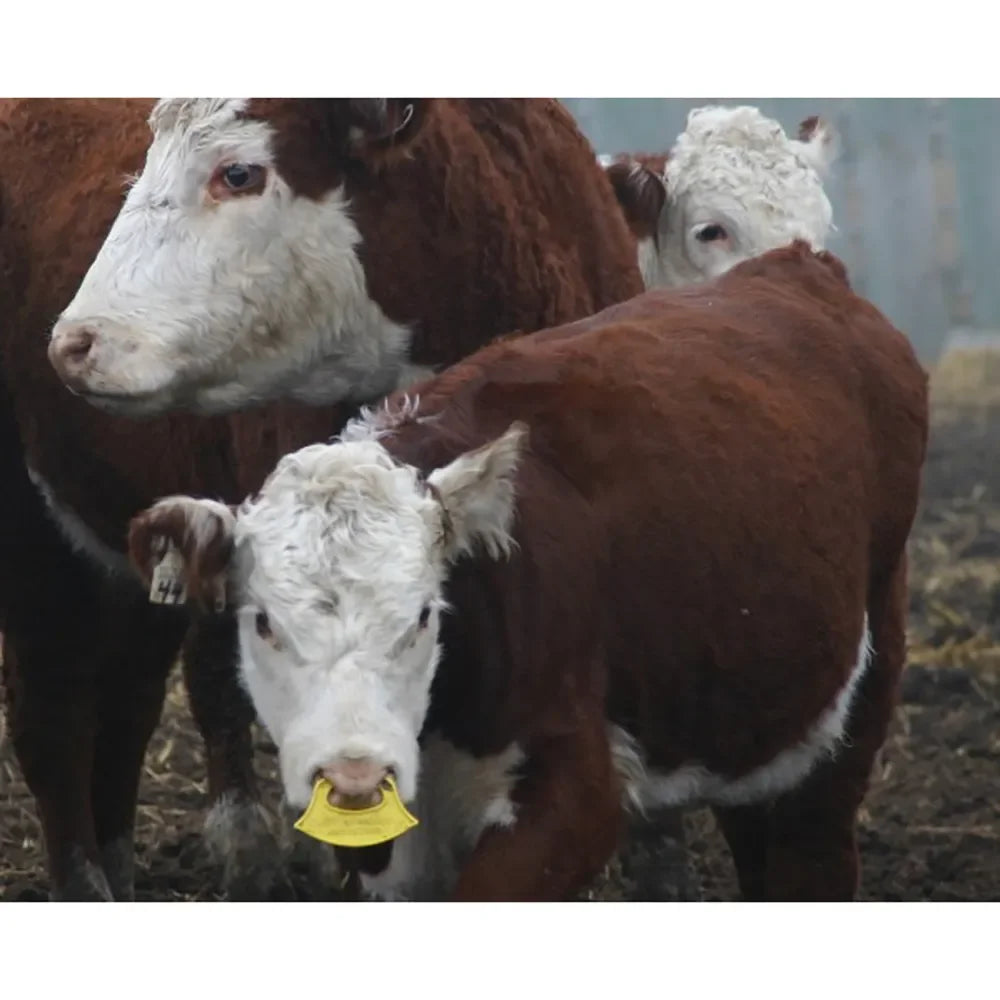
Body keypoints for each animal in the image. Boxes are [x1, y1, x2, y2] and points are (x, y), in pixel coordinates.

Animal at [127, 242, 929, 901]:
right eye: (263, 623)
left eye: (423, 616)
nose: (355, 776)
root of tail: (798, 264)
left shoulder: (570, 795)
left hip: (853, 703)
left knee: (814, 851)